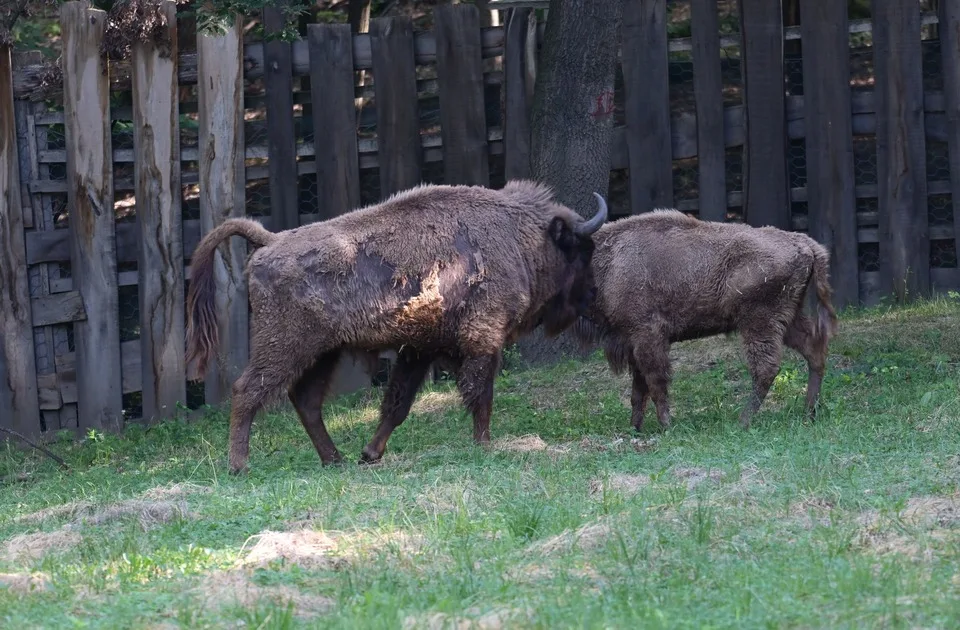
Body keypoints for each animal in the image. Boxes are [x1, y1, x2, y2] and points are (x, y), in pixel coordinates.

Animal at [186, 179, 608, 474]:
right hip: (286, 345)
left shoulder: (418, 350)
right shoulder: (482, 339)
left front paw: (370, 454)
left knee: (305, 401)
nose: (593, 294)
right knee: (248, 391)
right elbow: (480, 394)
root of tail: (271, 239)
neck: (519, 235)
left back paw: (335, 460)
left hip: (323, 353)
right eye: (580, 250)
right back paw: (239, 466)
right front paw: (485, 446)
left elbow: (397, 404)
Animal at [572, 210, 836, 432]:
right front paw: (634, 429)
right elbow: (639, 390)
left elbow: (656, 382)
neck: (609, 260)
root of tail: (804, 242)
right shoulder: (633, 342)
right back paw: (809, 413)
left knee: (766, 368)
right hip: (788, 319)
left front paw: (666, 426)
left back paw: (743, 421)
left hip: (759, 322)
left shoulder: (649, 337)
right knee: (814, 351)